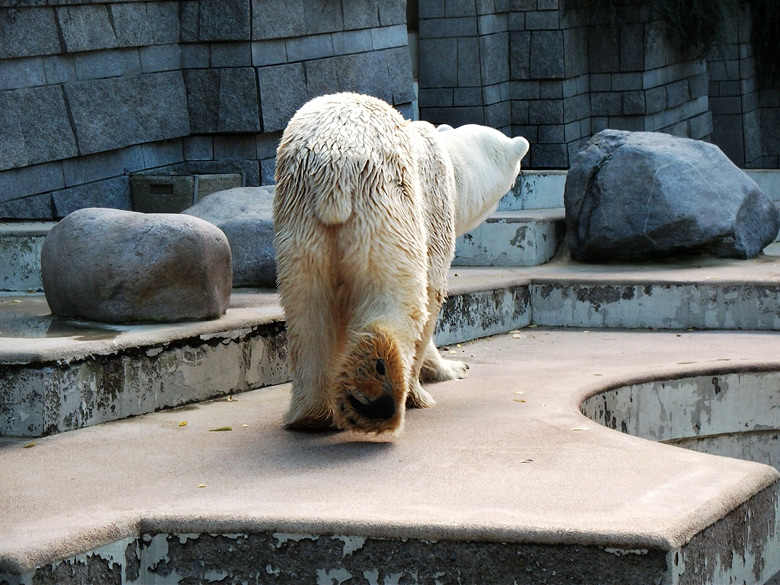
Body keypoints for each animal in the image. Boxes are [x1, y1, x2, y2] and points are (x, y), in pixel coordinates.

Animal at [274, 93, 532, 434]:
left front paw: (451, 366)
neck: (453, 166)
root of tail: (334, 170)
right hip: (383, 208)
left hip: (300, 219)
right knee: (397, 298)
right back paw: (380, 388)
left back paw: (311, 414)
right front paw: (432, 383)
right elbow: (432, 295)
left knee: (306, 309)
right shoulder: (432, 204)